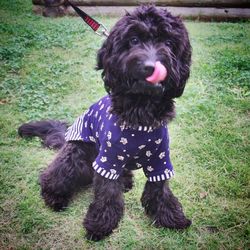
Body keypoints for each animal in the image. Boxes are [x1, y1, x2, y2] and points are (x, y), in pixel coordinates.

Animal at [18, 5, 191, 240]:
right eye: (134, 40)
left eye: (169, 43)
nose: (150, 66)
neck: (140, 111)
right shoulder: (108, 159)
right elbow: (107, 191)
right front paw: (101, 223)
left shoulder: (160, 160)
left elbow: (160, 188)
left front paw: (170, 216)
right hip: (77, 153)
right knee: (51, 175)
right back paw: (55, 197)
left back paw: (125, 181)